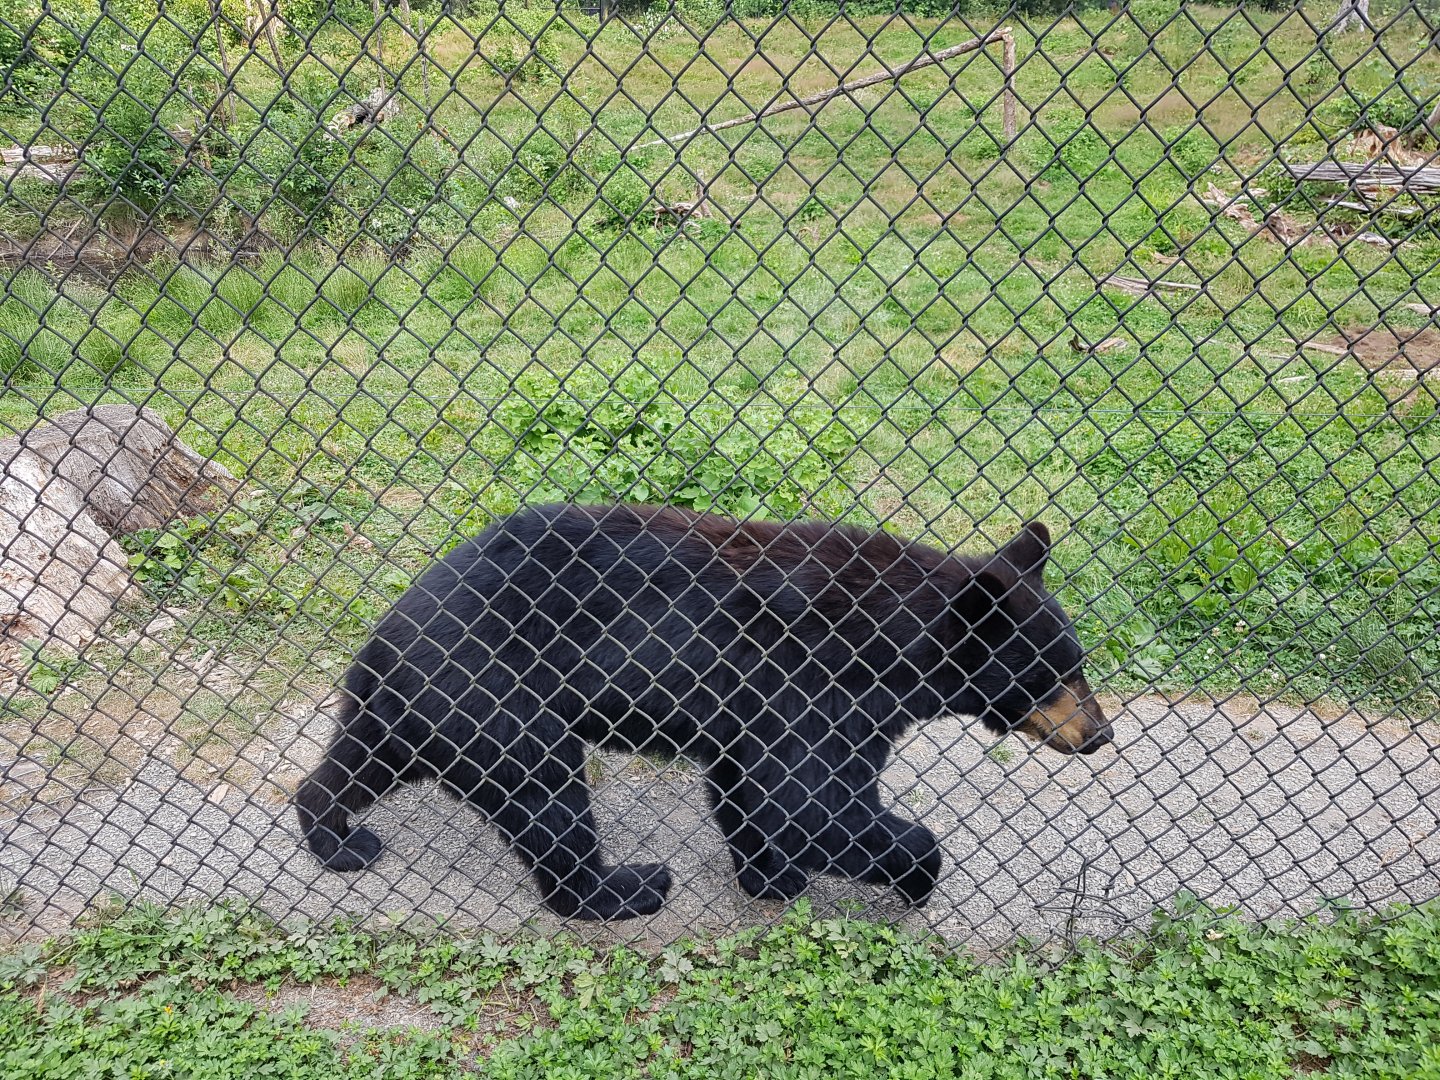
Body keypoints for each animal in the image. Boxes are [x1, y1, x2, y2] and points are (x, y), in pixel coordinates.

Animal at [295, 502, 1111, 920]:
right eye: (1053, 674)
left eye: (1079, 663)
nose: (1100, 733)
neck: (895, 644)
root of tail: (389, 628)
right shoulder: (820, 680)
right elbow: (808, 799)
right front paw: (916, 873)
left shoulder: (753, 703)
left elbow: (752, 787)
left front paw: (771, 878)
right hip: (494, 690)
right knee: (546, 798)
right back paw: (626, 888)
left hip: (413, 705)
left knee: (357, 761)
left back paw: (337, 835)